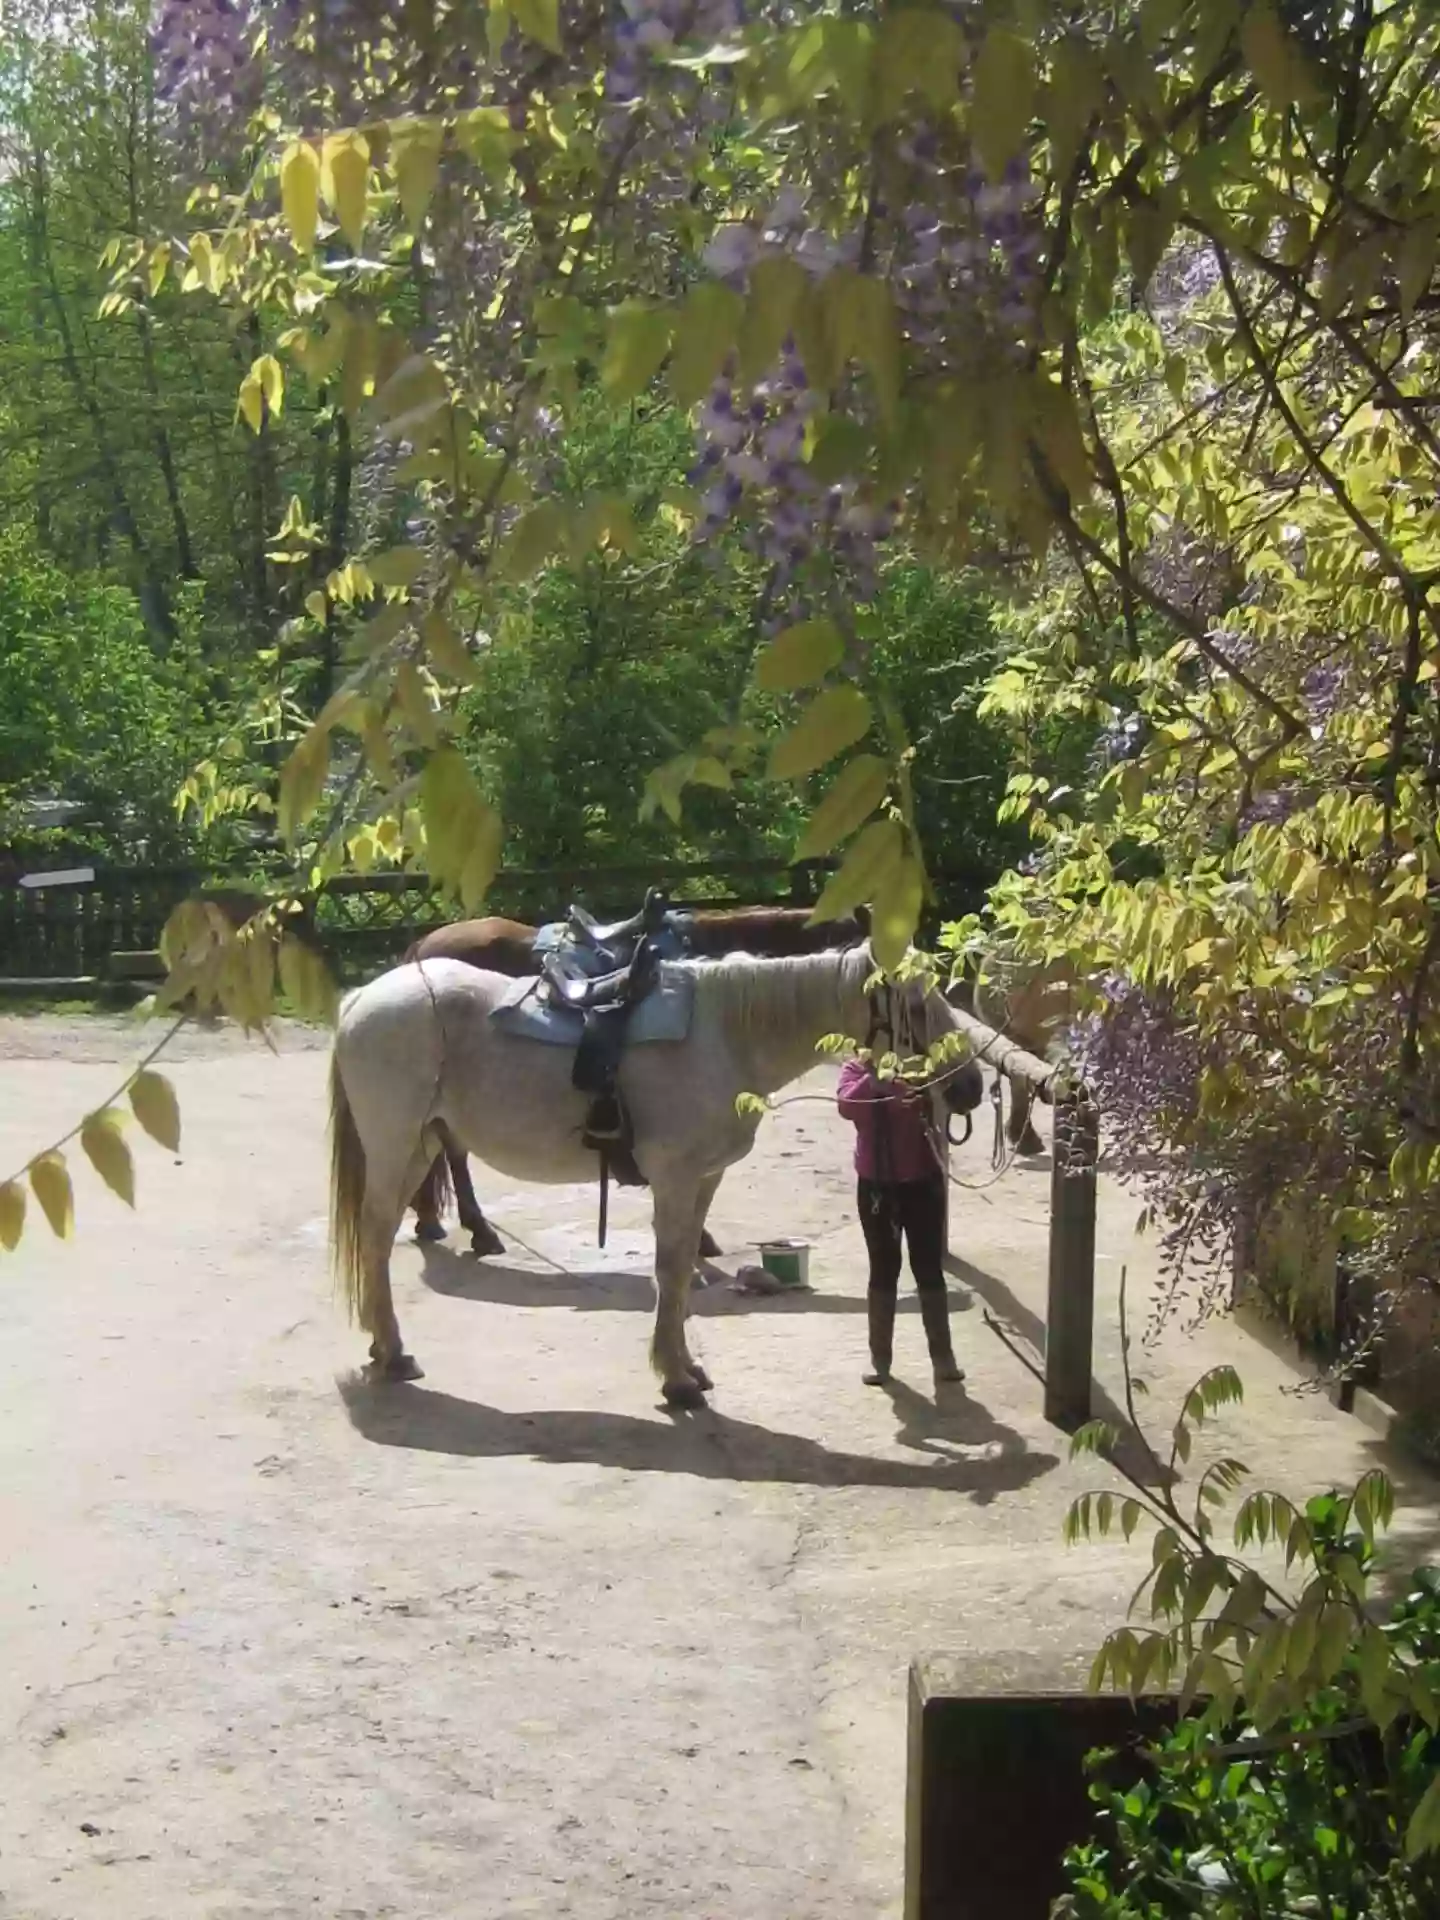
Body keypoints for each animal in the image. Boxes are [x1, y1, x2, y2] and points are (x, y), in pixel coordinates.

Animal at [330, 944, 983, 1413]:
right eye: (915, 1007)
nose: (969, 1089)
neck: (728, 1037)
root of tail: (363, 998)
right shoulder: (674, 1178)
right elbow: (670, 1270)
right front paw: (676, 1381)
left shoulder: (703, 1180)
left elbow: (684, 1268)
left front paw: (686, 1368)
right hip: (395, 1148)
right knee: (376, 1238)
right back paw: (393, 1355)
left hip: (421, 1147)